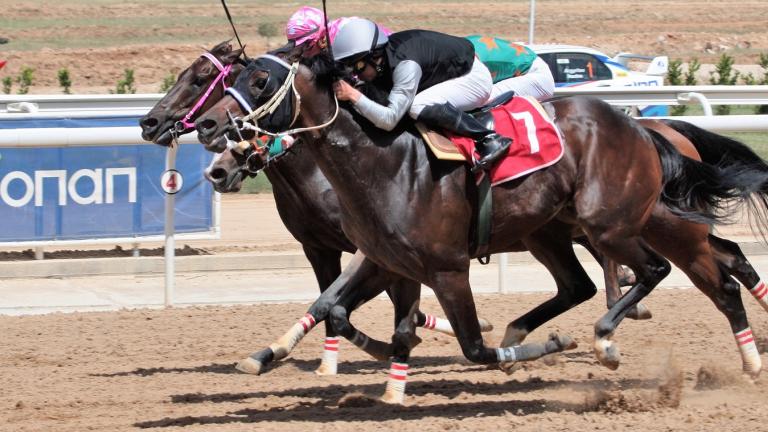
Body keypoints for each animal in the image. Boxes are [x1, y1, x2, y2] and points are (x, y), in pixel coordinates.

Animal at [196, 54, 768, 402]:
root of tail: (642, 127)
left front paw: (542, 347)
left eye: (260, 81)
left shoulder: (446, 267)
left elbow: (469, 343)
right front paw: (391, 380)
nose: (208, 129)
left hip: (616, 225)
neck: (383, 160)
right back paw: (746, 360)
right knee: (636, 279)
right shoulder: (388, 259)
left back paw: (607, 341)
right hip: (557, 231)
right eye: (222, 81)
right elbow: (350, 314)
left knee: (668, 271)